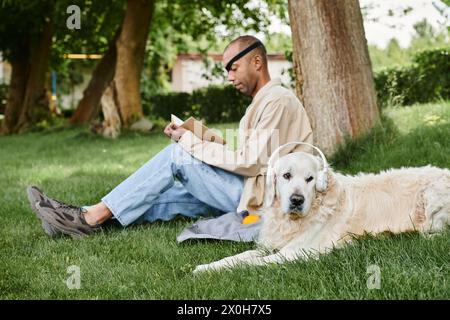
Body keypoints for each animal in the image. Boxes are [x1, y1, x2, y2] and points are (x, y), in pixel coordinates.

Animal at [195, 144, 450, 274]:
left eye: (310, 179)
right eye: (286, 176)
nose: (297, 200)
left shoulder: (295, 253)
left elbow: (251, 263)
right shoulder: (269, 245)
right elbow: (239, 256)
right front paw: (206, 267)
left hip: (431, 198)